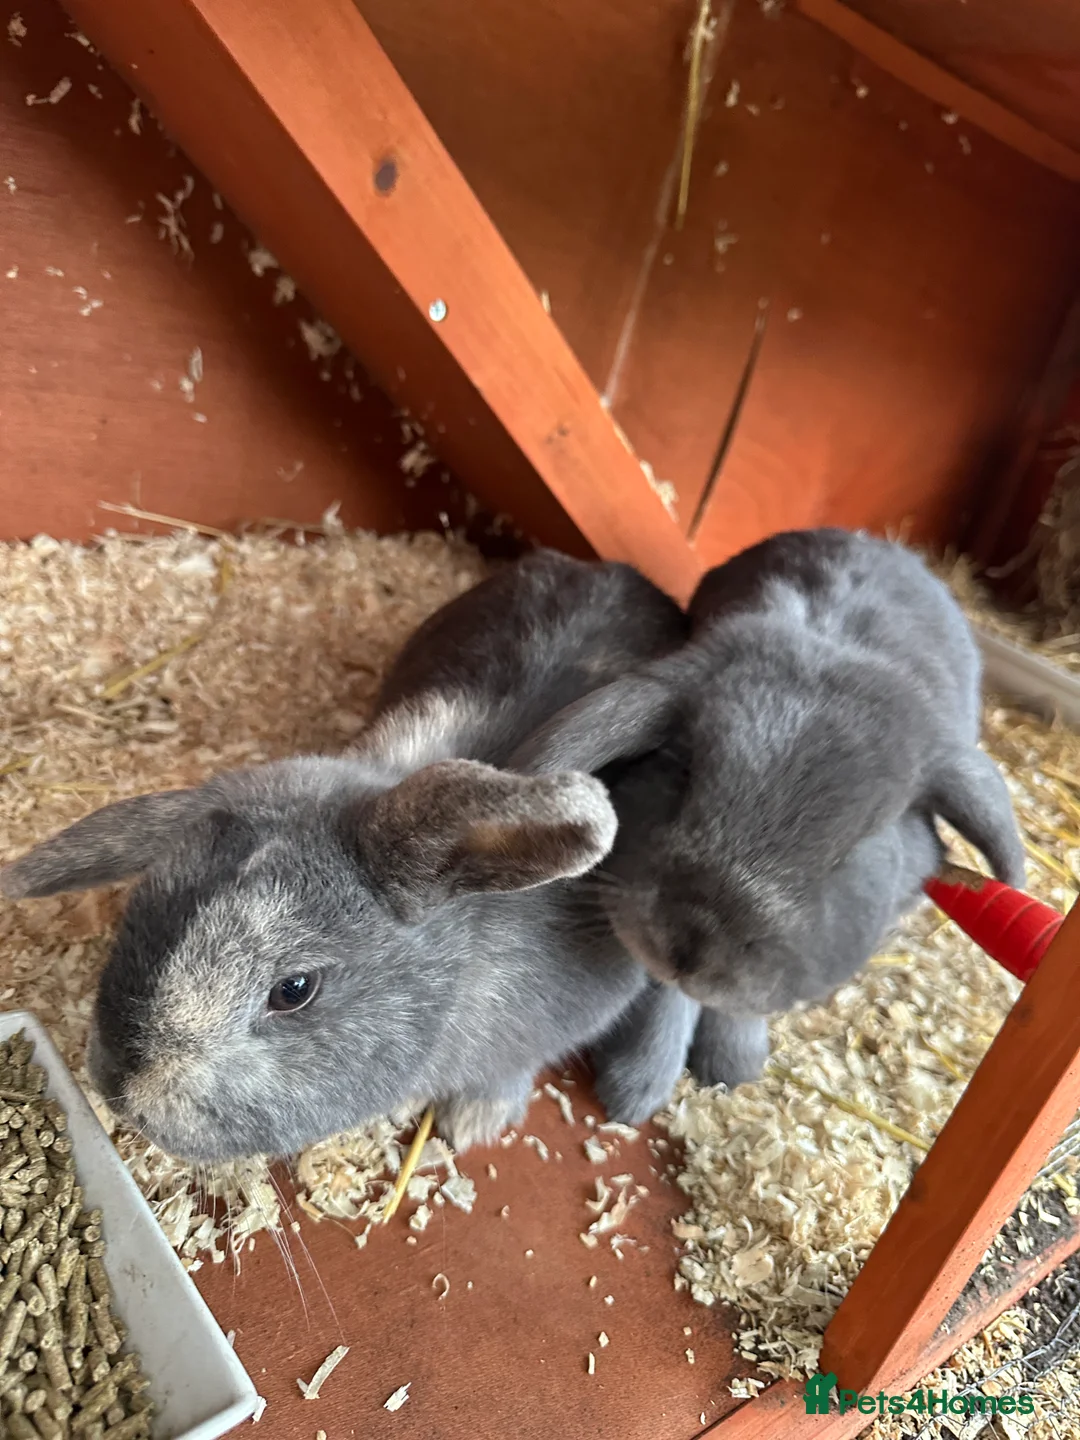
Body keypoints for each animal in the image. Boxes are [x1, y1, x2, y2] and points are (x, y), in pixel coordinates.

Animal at [510, 528, 1024, 1084]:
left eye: (857, 849)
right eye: (684, 771)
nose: (691, 946)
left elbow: (735, 1005)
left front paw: (732, 1063)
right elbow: (669, 992)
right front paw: (642, 1079)